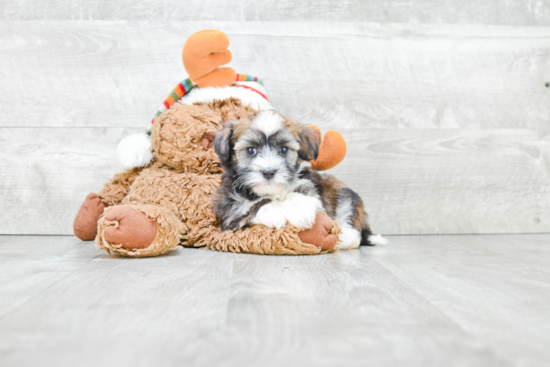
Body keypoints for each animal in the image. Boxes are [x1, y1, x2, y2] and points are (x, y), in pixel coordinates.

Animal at [213, 108, 386, 249]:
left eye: (283, 149)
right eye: (250, 150)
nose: (268, 172)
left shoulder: (307, 184)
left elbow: (304, 196)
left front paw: (301, 210)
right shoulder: (229, 213)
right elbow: (257, 206)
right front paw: (280, 211)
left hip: (345, 193)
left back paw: (345, 237)